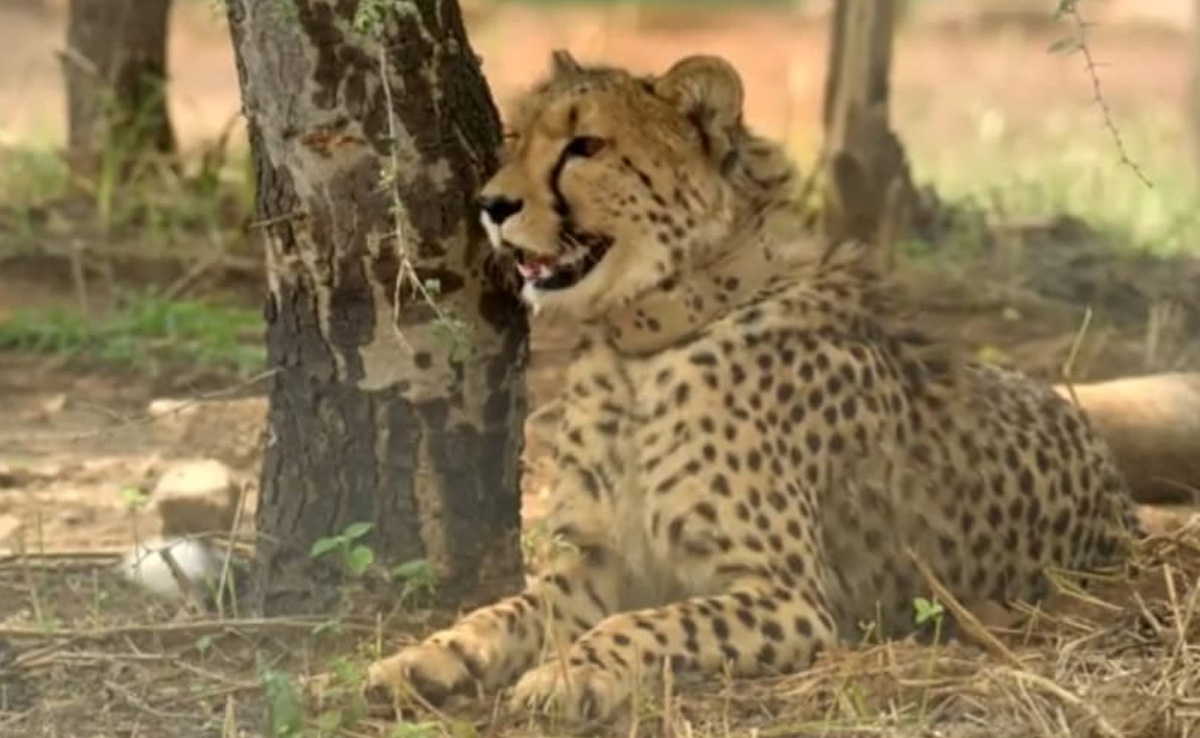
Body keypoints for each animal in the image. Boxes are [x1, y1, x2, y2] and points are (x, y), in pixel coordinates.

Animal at [365, 49, 1140, 724]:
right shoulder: (595, 561)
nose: (491, 204)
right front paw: (428, 657)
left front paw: (570, 671)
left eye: (585, 145)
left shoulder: (792, 600)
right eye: (516, 138)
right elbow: (508, 610)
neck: (643, 344)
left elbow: (648, 622)